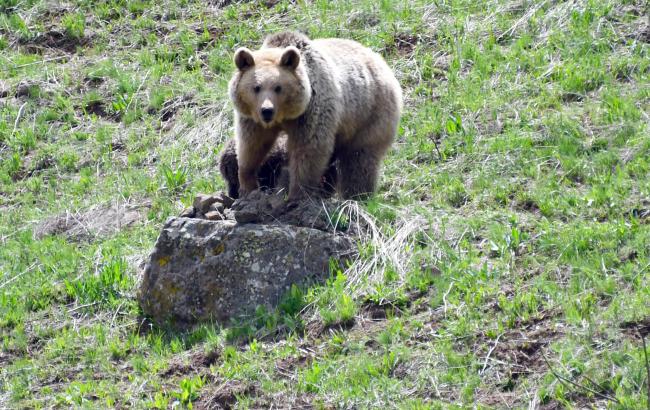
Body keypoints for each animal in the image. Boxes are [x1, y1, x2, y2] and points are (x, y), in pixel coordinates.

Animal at [225, 30, 402, 200]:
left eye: (278, 87)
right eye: (256, 87)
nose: (267, 110)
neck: (285, 116)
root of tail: (380, 60)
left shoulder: (312, 109)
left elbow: (309, 149)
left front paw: (298, 194)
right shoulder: (252, 119)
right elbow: (252, 145)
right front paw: (247, 186)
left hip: (369, 112)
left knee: (359, 158)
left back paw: (358, 195)